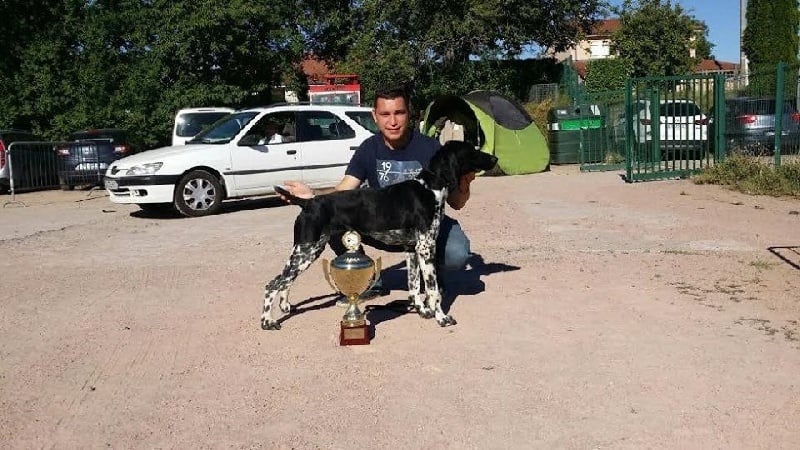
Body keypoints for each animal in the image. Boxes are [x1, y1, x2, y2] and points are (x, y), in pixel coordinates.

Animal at [260, 140, 498, 330]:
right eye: (472, 150)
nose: (495, 158)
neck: (429, 188)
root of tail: (308, 202)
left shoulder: (412, 250)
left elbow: (414, 286)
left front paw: (422, 311)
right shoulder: (426, 247)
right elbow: (433, 289)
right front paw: (441, 318)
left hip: (305, 250)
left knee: (284, 281)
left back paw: (285, 305)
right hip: (307, 250)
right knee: (273, 284)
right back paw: (267, 321)